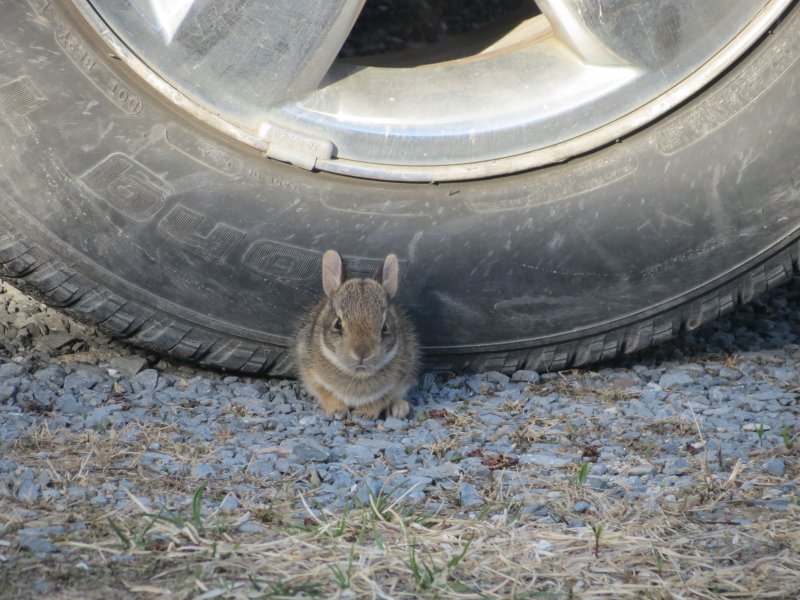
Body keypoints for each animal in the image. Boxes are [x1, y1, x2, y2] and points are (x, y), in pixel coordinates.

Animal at [294, 249, 420, 419]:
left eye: (385, 327)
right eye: (338, 324)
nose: (362, 354)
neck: (358, 373)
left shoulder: (398, 381)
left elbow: (381, 398)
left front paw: (363, 414)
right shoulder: (311, 374)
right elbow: (326, 393)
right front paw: (338, 411)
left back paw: (400, 408)